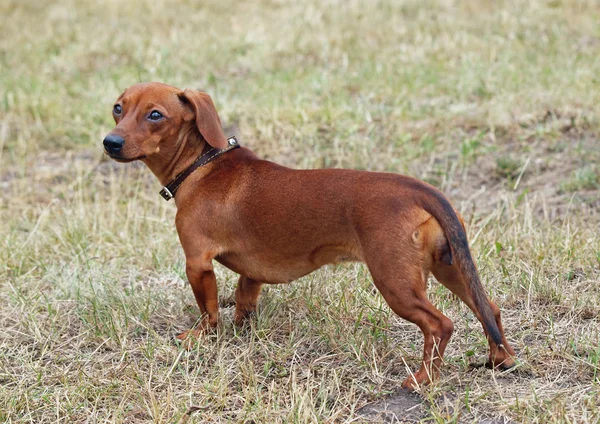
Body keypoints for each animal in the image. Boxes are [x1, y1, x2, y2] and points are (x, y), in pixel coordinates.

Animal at [103, 81, 516, 390]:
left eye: (156, 115)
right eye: (118, 108)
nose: (110, 142)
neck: (202, 166)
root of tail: (420, 190)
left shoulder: (196, 263)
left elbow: (209, 311)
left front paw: (200, 337)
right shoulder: (250, 273)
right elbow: (243, 299)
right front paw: (242, 328)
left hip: (395, 282)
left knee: (440, 324)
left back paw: (422, 379)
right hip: (450, 268)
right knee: (489, 308)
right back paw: (501, 359)